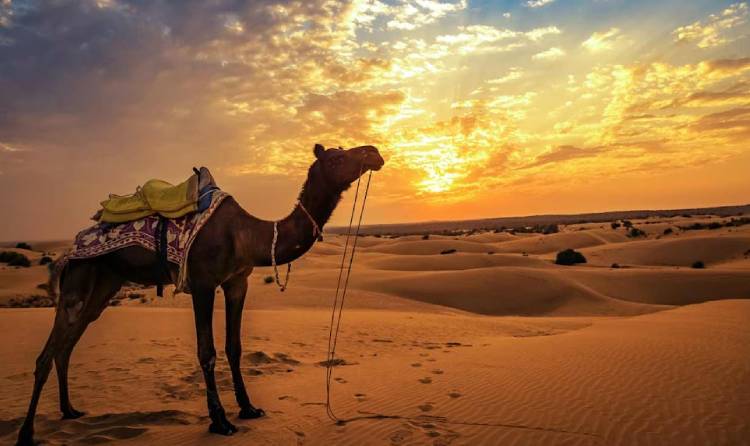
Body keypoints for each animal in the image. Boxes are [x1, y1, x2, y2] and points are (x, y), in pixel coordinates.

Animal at [16, 145, 388, 444]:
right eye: (337, 157)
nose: (374, 152)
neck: (249, 234)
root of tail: (76, 240)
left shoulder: (238, 282)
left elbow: (234, 347)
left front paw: (248, 408)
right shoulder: (204, 282)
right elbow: (206, 351)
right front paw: (220, 420)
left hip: (105, 283)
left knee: (67, 346)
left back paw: (69, 410)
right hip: (80, 278)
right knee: (48, 352)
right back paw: (26, 433)